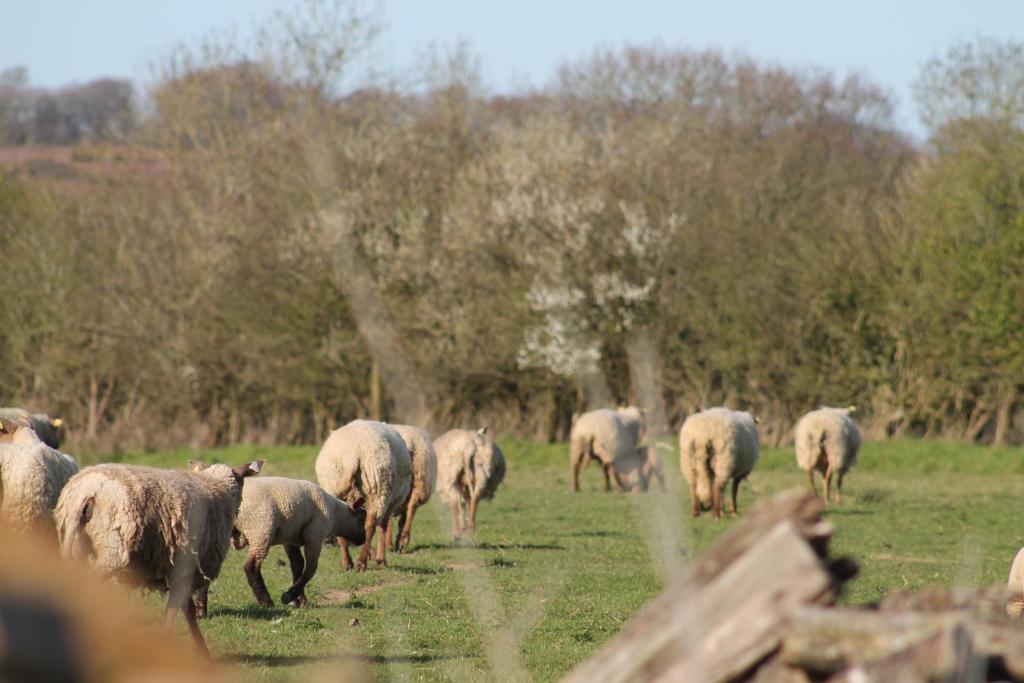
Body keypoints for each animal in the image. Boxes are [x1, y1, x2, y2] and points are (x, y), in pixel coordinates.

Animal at [53, 456, 264, 655]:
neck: (216, 488)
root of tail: (84, 493)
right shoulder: (185, 567)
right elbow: (176, 609)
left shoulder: (179, 570)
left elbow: (186, 609)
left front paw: (202, 651)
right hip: (110, 551)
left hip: (78, 549)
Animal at [192, 475, 368, 614]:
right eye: (362, 518)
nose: (363, 540)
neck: (336, 513)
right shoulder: (315, 536)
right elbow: (310, 569)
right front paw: (290, 595)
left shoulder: (290, 538)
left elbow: (297, 565)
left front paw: (300, 600)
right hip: (261, 529)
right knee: (251, 567)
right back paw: (266, 602)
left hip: (219, 533)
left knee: (208, 568)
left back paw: (201, 609)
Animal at [313, 419, 409, 573]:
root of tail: (351, 455)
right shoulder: (390, 503)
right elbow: (383, 527)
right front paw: (381, 560)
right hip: (377, 489)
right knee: (370, 526)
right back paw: (361, 563)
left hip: (335, 484)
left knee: (341, 523)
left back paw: (348, 563)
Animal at [387, 423, 440, 552]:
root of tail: (409, 442)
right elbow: (402, 520)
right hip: (420, 482)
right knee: (412, 508)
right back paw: (403, 540)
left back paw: (389, 544)